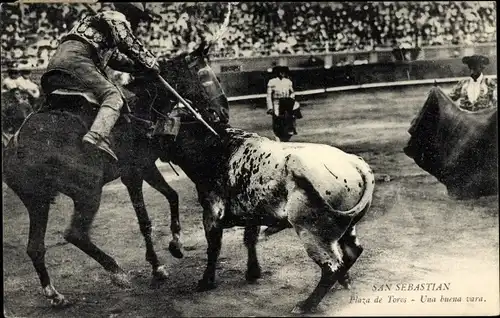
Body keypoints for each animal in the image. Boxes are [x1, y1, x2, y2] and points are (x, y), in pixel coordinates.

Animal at [1, 42, 229, 308]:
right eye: (205, 76)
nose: (223, 113)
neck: (143, 108)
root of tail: (18, 144)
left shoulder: (141, 171)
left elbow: (169, 199)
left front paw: (172, 249)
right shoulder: (137, 171)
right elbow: (147, 219)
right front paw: (160, 263)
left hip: (37, 201)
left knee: (35, 247)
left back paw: (55, 294)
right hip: (87, 192)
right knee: (75, 234)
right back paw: (117, 273)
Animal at [168, 121, 376, 314]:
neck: (216, 147)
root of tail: (356, 163)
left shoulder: (211, 212)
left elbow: (213, 248)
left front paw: (206, 282)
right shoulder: (251, 213)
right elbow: (250, 240)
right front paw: (253, 273)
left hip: (311, 232)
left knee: (331, 267)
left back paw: (305, 305)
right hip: (347, 227)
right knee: (352, 251)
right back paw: (344, 281)